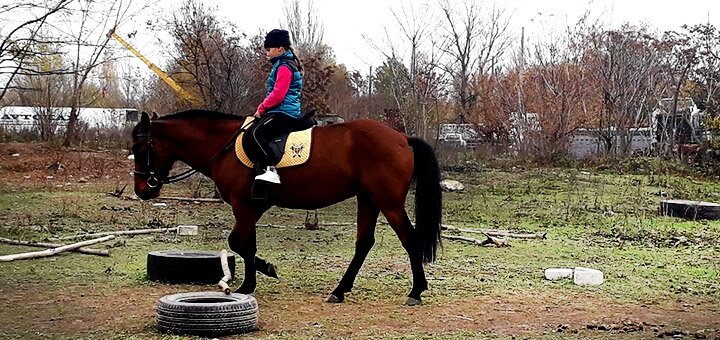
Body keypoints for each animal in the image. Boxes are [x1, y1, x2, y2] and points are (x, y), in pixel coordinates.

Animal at [131, 109, 442, 306]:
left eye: (140, 149)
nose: (143, 190)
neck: (224, 146)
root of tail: (402, 138)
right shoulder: (252, 209)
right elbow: (242, 243)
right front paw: (262, 272)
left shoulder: (244, 207)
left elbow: (242, 244)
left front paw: (250, 283)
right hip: (368, 199)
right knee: (364, 243)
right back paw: (340, 290)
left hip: (389, 203)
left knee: (410, 240)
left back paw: (416, 292)